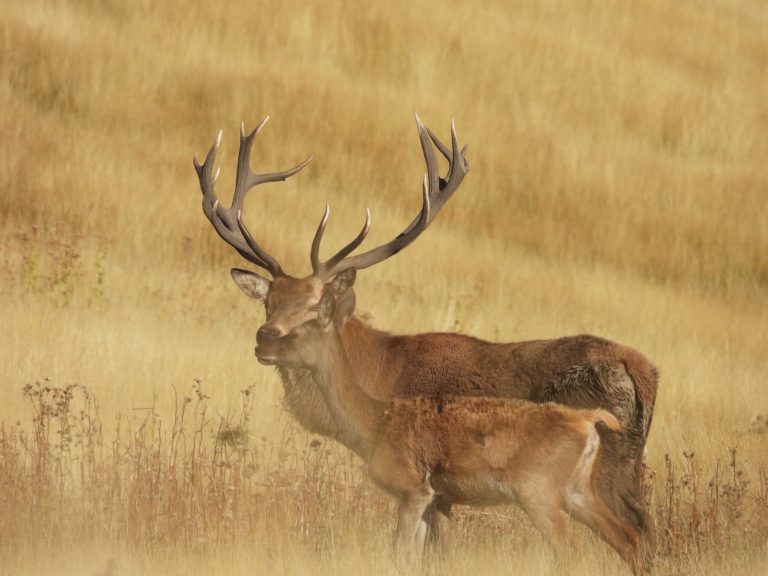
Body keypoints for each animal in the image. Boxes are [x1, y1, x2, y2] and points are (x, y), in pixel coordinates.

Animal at [275, 275, 643, 572]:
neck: (374, 421)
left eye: (297, 332)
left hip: (538, 493)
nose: (265, 341)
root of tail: (588, 420)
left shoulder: (414, 489)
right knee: (629, 538)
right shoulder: (431, 497)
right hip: (577, 490)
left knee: (572, 552)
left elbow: (401, 553)